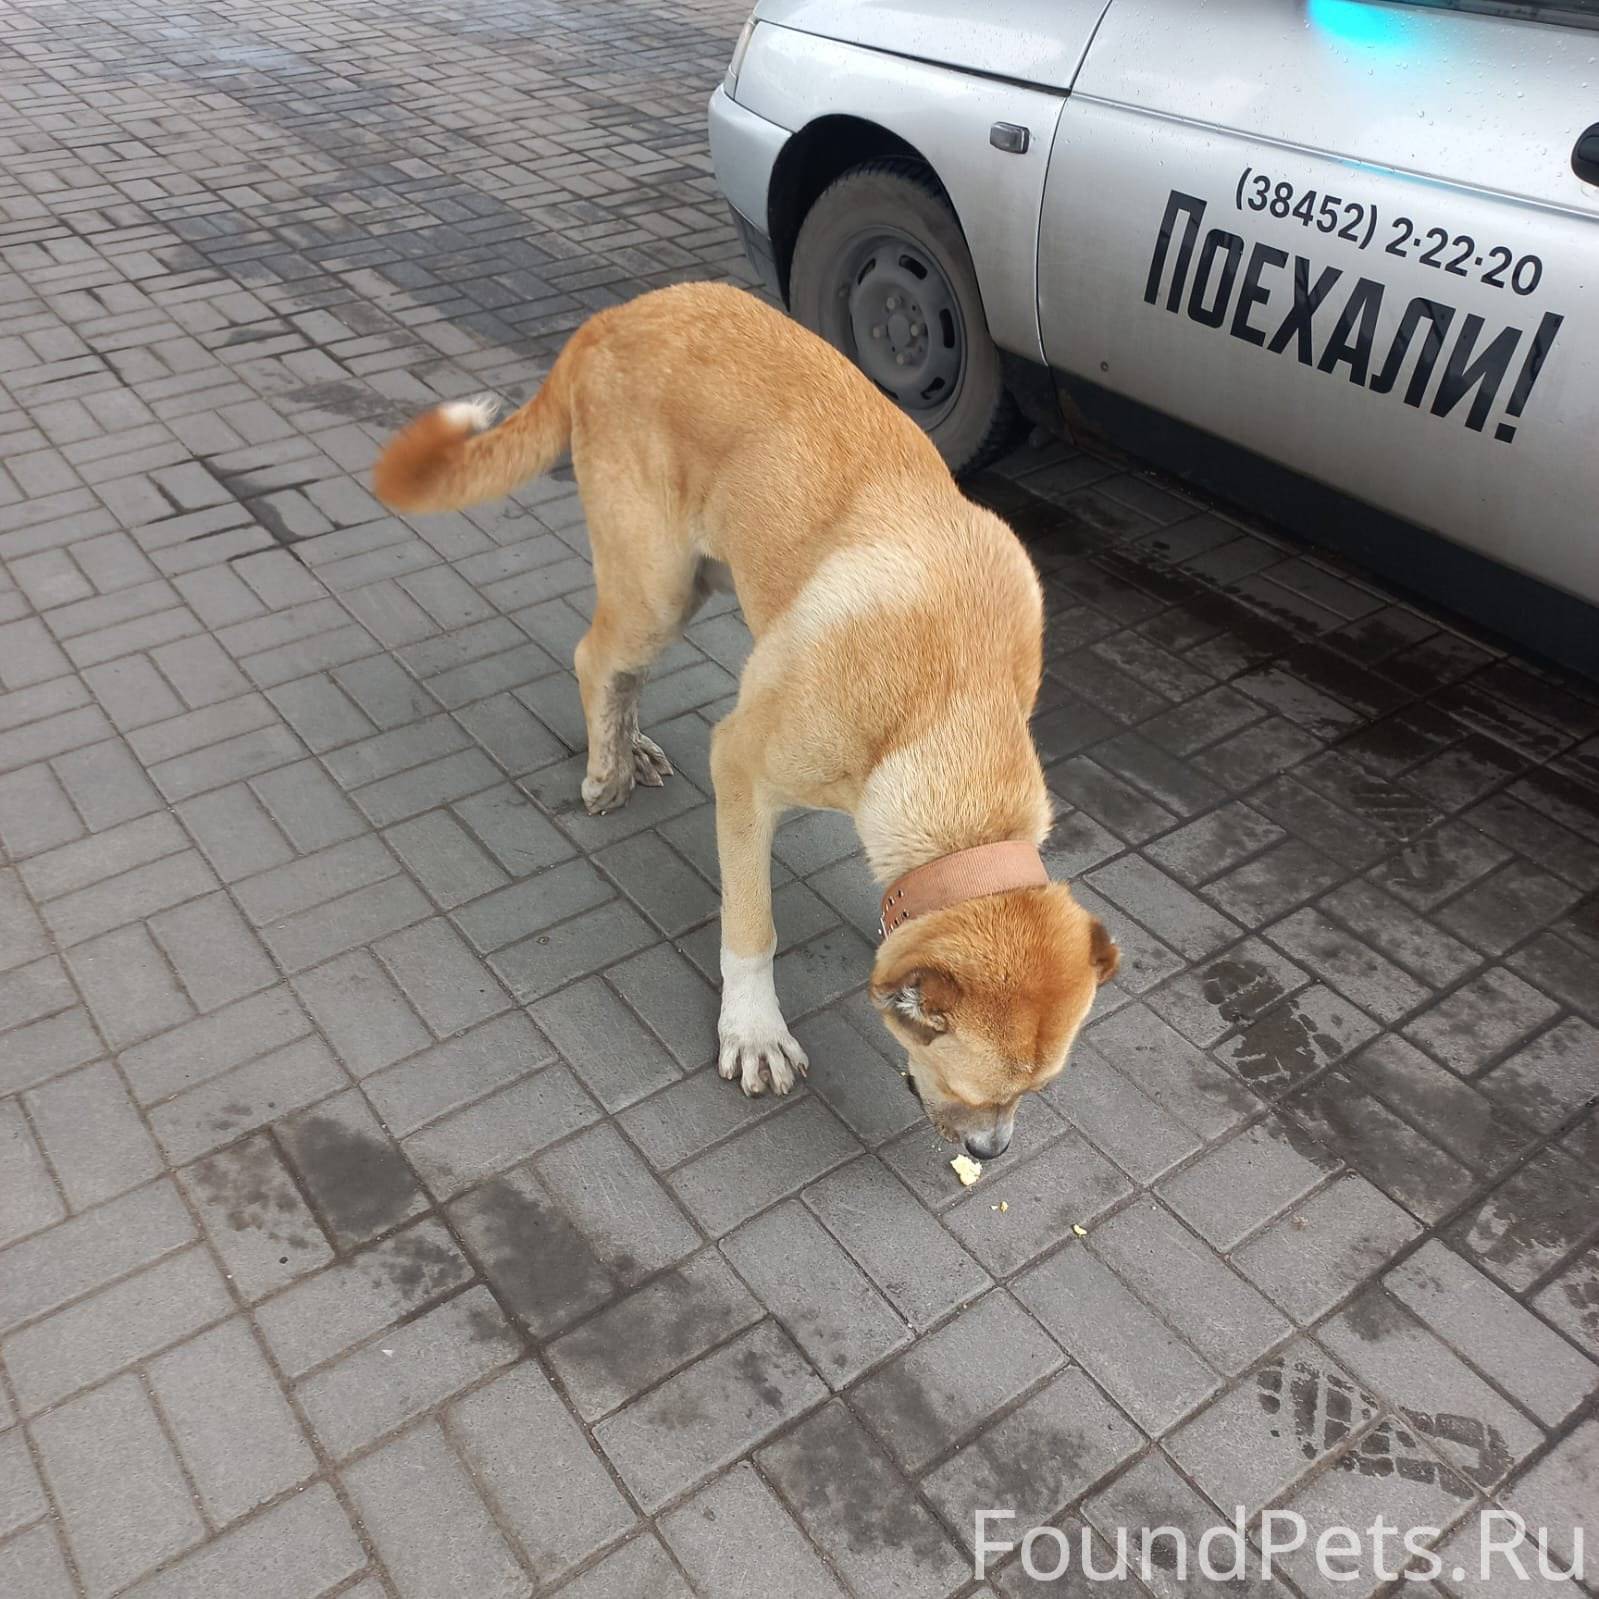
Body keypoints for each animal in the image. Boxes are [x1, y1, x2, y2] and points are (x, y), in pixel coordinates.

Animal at [377, 284, 1125, 1164]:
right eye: (977, 1090)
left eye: (1036, 1092)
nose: (991, 1152)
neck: (949, 707)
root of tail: (616, 316)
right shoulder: (739, 765)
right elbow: (752, 926)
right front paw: (753, 1029)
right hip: (656, 584)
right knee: (596, 657)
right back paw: (606, 764)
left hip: (689, 579)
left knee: (621, 670)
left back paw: (629, 744)